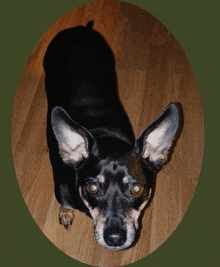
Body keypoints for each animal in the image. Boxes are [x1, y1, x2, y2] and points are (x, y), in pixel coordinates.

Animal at [42, 20, 179, 251]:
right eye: (92, 187)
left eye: (136, 189)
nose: (115, 238)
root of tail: (80, 28)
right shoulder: (61, 189)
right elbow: (64, 204)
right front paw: (66, 213)